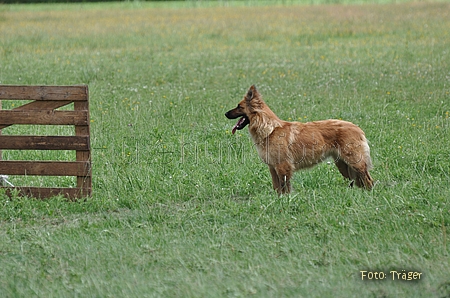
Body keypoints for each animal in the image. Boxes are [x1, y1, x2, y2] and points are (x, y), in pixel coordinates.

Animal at [224, 85, 372, 194]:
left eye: (239, 107)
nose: (225, 114)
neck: (269, 129)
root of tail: (357, 127)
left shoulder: (283, 167)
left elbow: (284, 187)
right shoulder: (273, 168)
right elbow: (277, 188)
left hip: (354, 162)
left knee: (368, 180)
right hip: (343, 164)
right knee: (354, 181)